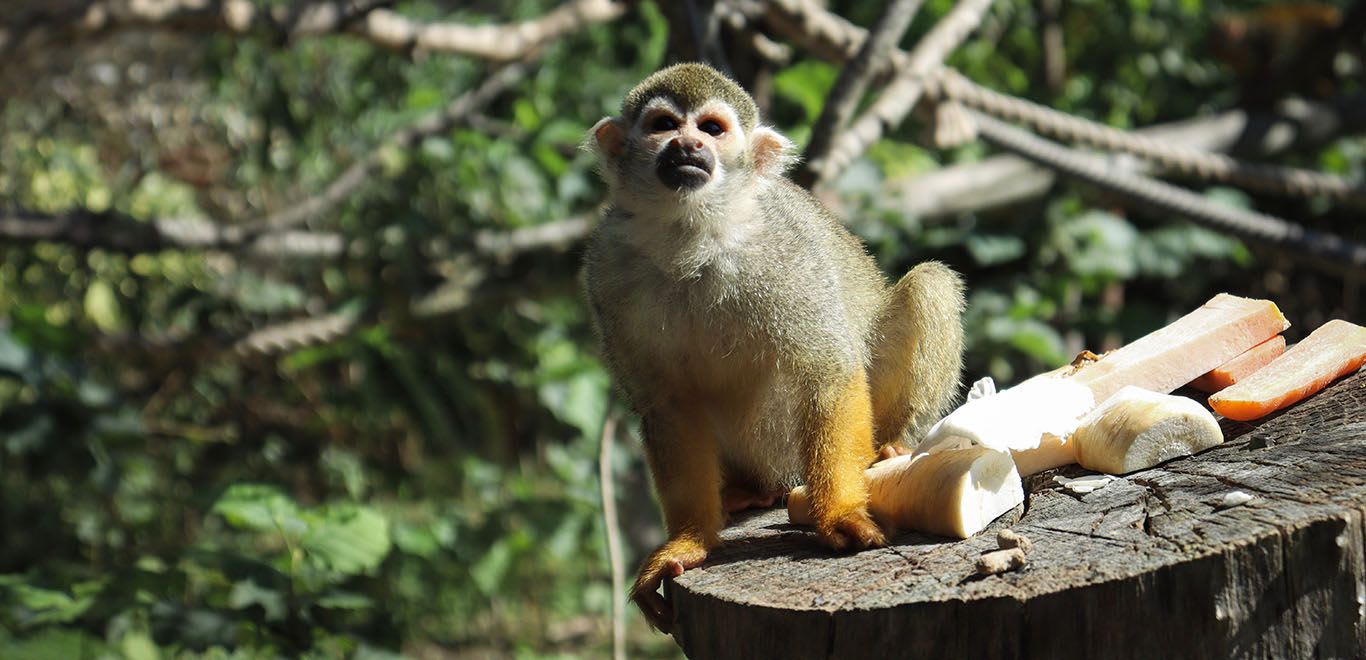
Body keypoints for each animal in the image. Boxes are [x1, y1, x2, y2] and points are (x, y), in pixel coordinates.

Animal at [581, 63, 967, 636]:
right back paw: (743, 492)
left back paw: (890, 447)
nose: (688, 144)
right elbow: (667, 405)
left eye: (712, 129)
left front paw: (838, 514)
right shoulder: (607, 271)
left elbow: (828, 368)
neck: (691, 233)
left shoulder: (785, 250)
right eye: (664, 124)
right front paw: (689, 541)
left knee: (930, 285)